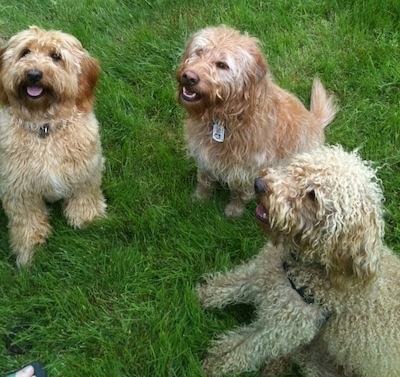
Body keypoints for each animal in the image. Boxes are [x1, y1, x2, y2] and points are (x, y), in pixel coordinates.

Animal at [0, 26, 106, 266]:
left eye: (56, 56)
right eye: (25, 52)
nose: (33, 74)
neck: (45, 128)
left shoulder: (85, 171)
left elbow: (85, 196)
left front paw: (88, 219)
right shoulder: (18, 188)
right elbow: (27, 221)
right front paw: (28, 251)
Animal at [177, 25, 336, 216]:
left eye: (222, 65)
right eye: (199, 51)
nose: (188, 76)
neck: (225, 118)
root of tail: (316, 122)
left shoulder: (249, 169)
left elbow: (241, 193)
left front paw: (234, 211)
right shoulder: (203, 156)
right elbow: (204, 180)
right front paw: (199, 198)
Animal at [198, 145, 400, 376]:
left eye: (313, 196)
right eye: (297, 169)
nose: (259, 184)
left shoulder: (281, 330)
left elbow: (245, 347)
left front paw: (216, 362)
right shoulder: (263, 275)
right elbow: (233, 283)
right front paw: (204, 294)